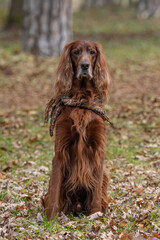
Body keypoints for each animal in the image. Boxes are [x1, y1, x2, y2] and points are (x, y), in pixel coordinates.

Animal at [42, 40, 110, 220]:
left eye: (92, 52)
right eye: (76, 52)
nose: (85, 65)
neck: (81, 96)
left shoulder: (98, 149)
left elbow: (96, 190)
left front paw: (95, 215)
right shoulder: (60, 150)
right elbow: (55, 190)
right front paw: (50, 220)